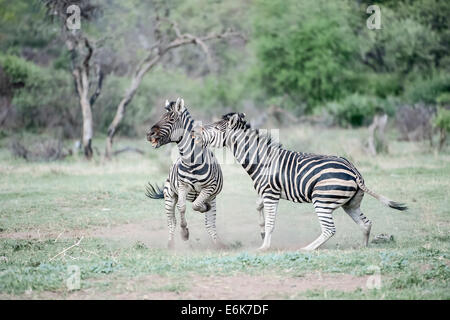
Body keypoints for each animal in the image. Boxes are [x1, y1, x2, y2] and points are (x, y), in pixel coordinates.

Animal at [145, 99, 224, 249]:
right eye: (161, 116)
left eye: (171, 119)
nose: (149, 134)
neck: (191, 161)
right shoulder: (183, 186)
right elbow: (182, 207)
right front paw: (184, 234)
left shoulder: (208, 189)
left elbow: (196, 205)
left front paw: (204, 207)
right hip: (169, 195)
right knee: (172, 221)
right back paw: (171, 244)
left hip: (213, 197)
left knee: (210, 224)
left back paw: (218, 244)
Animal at [193, 114, 408, 251]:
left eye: (214, 128)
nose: (195, 134)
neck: (261, 160)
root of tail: (354, 171)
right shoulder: (265, 194)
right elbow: (258, 209)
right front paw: (261, 231)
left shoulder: (271, 194)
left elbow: (271, 223)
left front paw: (264, 246)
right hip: (351, 203)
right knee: (366, 224)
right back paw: (363, 247)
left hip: (322, 200)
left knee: (329, 229)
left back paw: (307, 249)